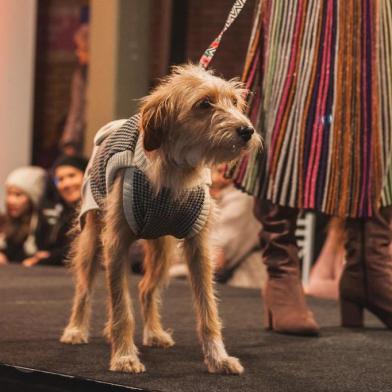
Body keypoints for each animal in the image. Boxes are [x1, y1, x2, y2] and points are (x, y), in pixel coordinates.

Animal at [60, 63, 260, 374]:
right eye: (204, 104)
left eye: (235, 102)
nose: (247, 130)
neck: (176, 170)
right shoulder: (115, 243)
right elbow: (121, 306)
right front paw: (124, 356)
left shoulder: (199, 248)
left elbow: (208, 309)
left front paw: (218, 357)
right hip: (92, 236)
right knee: (85, 286)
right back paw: (76, 329)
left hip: (162, 249)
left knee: (146, 289)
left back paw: (154, 332)